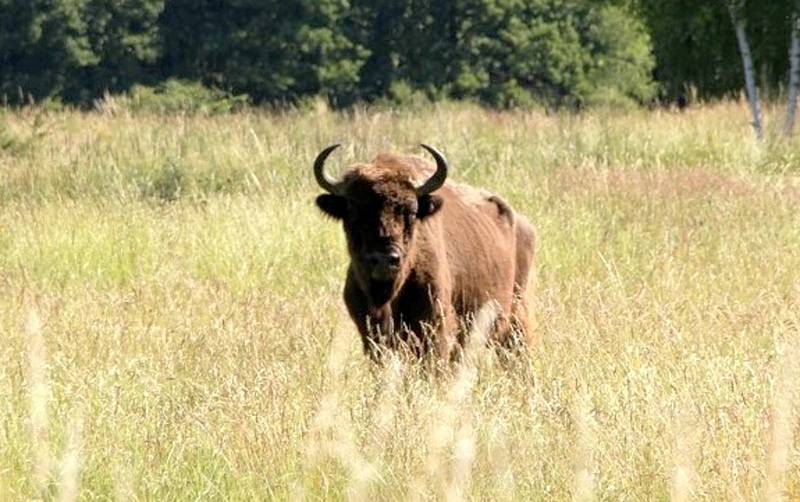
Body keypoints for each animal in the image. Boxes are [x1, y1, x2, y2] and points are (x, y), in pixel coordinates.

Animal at [316, 145, 536, 360]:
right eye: (352, 211)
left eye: (412, 212)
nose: (384, 260)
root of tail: (523, 224)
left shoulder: (435, 329)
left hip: (516, 319)